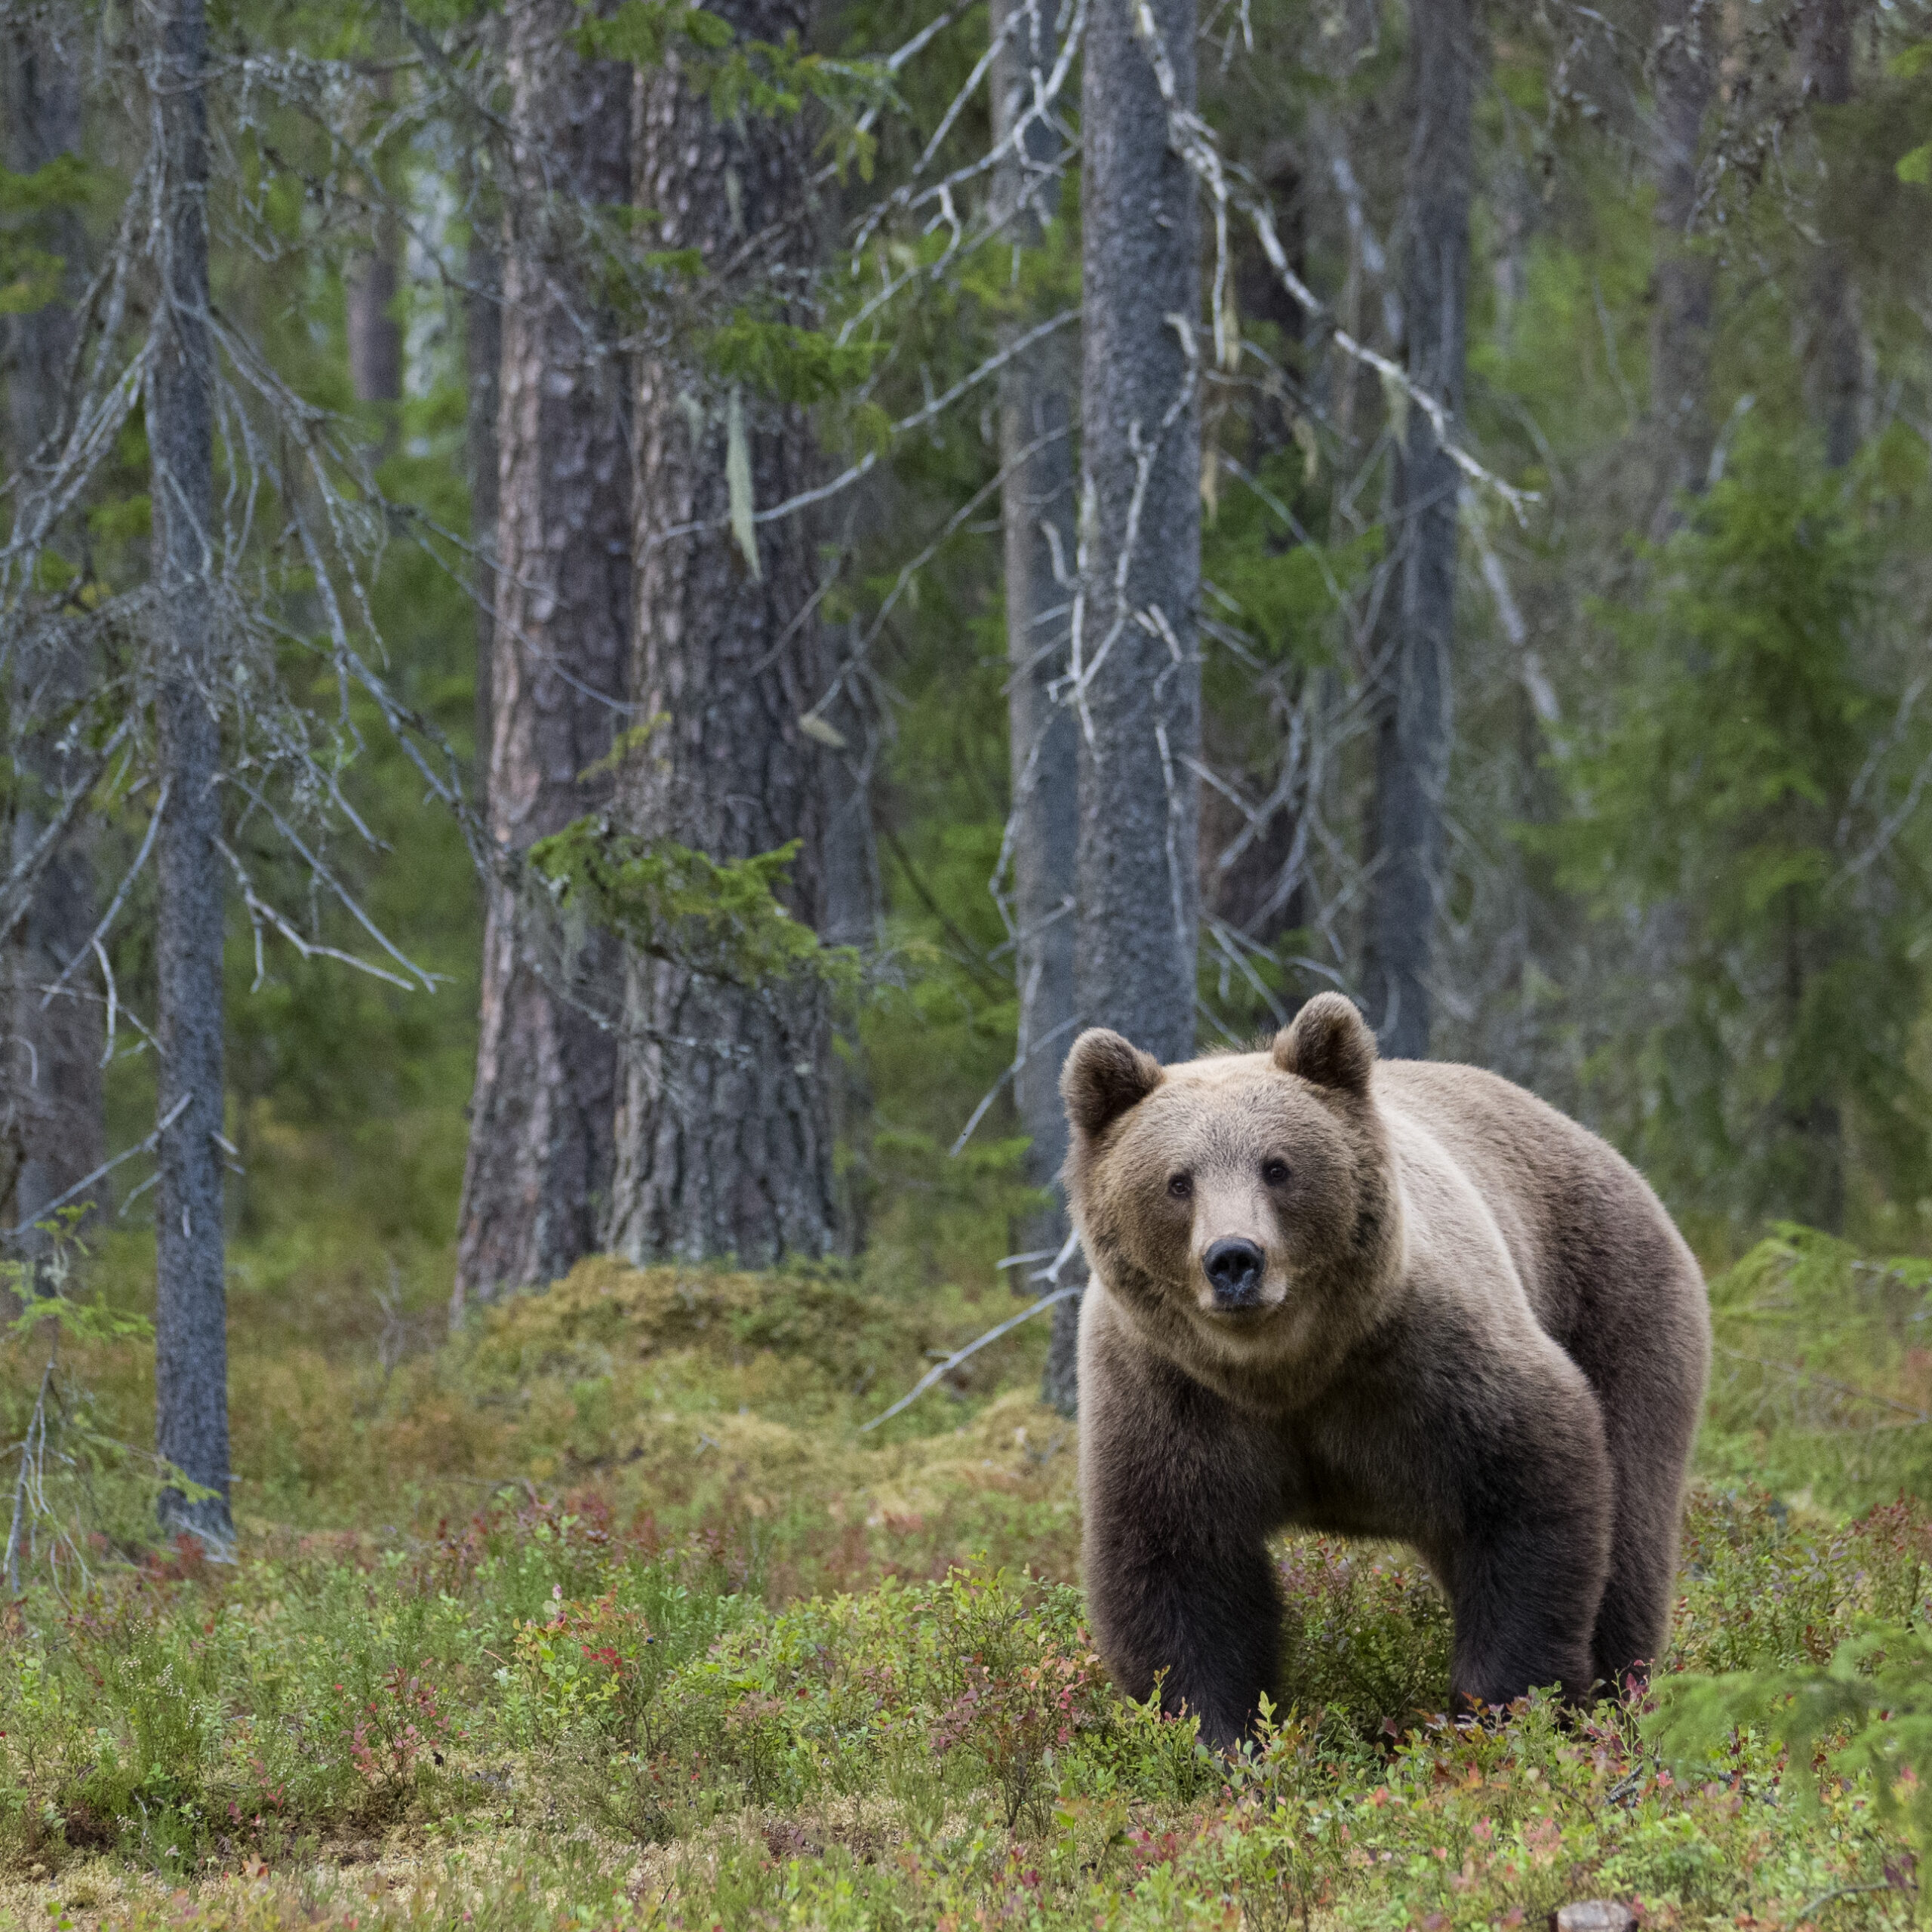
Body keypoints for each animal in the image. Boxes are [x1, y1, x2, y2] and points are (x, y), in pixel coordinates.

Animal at [1060, 991, 1711, 1754]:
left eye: (1277, 1166)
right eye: (1177, 1181)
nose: (1234, 1259)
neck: (1283, 1371)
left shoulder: (1427, 1363)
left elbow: (1529, 1490)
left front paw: (1505, 1710)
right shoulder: (1167, 1395)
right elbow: (1176, 1568)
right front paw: (1218, 1739)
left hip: (1616, 1301)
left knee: (1630, 1531)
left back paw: (1618, 1697)